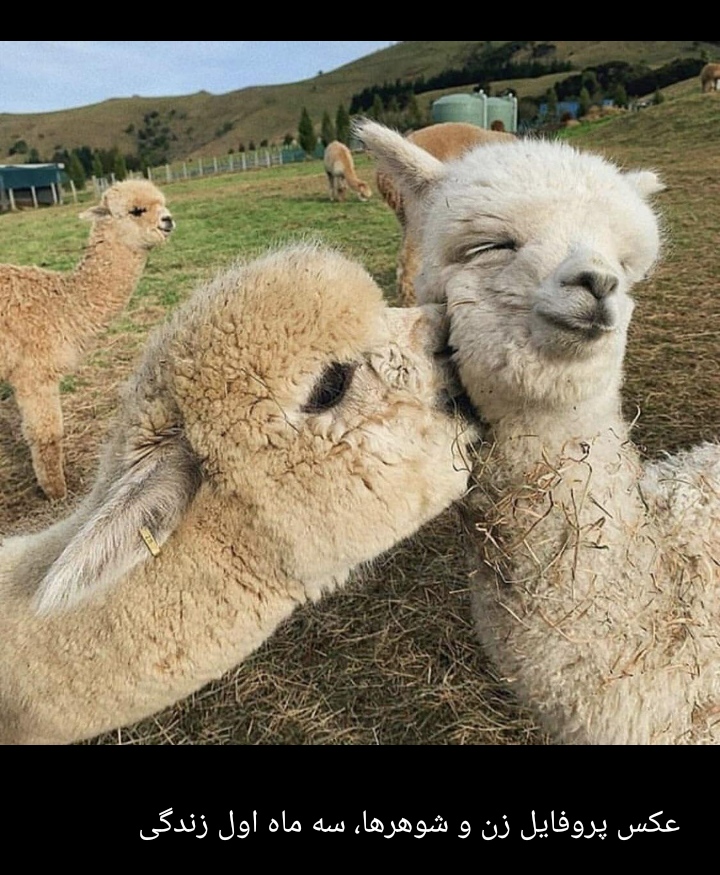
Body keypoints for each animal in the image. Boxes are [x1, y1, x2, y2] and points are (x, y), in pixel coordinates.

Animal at [0, 180, 175, 501]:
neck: (61, 306)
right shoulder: (34, 375)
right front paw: (57, 492)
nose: (168, 221)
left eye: (162, 203)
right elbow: (47, 435)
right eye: (136, 210)